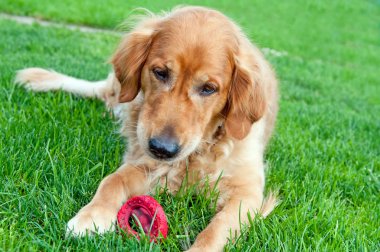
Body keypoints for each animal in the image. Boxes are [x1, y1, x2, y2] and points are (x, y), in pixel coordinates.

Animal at [15, 6, 280, 252]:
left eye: (209, 88)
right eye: (160, 73)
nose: (162, 149)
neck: (200, 149)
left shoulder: (246, 192)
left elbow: (218, 227)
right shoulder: (148, 164)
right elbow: (112, 180)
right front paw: (91, 216)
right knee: (101, 90)